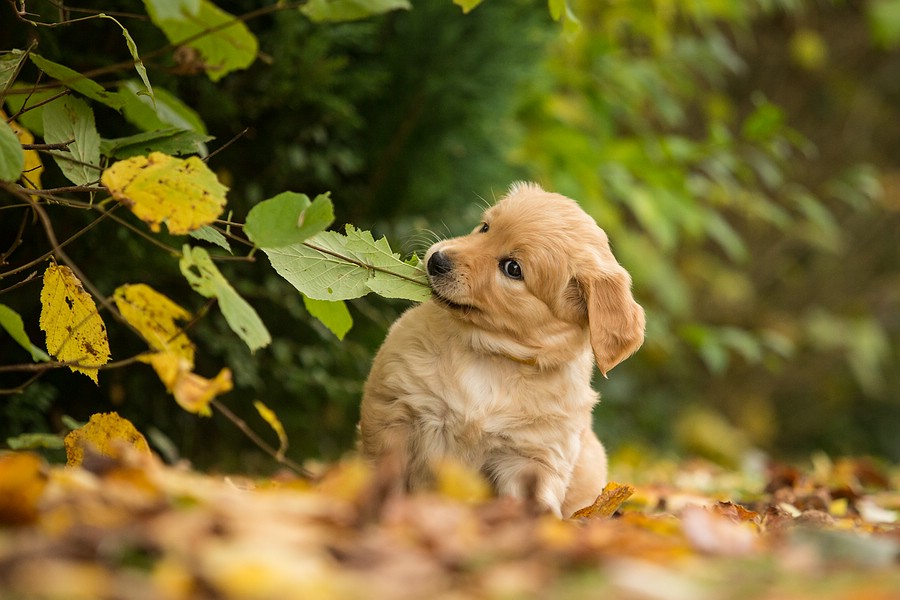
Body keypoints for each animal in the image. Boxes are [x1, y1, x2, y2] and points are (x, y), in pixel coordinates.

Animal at [360, 182, 648, 516]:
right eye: (485, 227)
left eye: (512, 268)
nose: (437, 261)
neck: (490, 354)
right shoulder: (393, 411)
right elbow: (384, 472)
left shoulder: (531, 455)